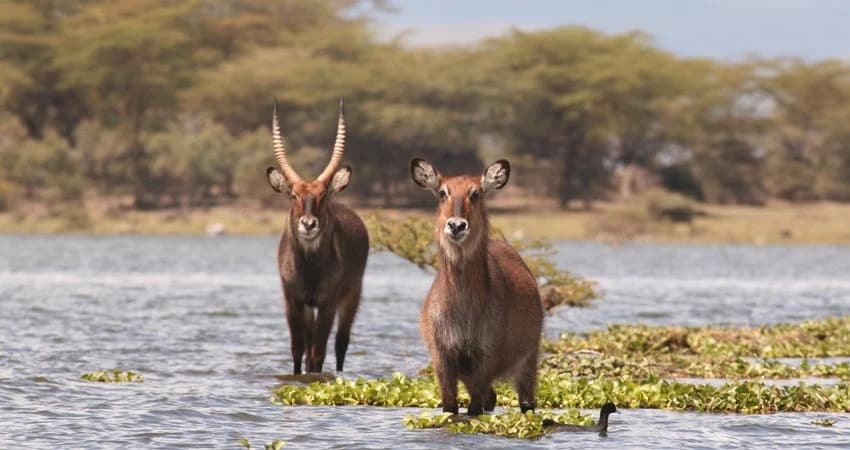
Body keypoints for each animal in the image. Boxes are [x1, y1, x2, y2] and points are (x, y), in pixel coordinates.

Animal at [266, 100, 369, 374]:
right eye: (293, 195)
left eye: (323, 195)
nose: (309, 224)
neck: (309, 266)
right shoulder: (293, 301)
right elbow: (298, 350)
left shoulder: (327, 303)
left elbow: (319, 353)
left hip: (353, 295)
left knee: (341, 342)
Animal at [409, 158, 544, 416]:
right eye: (442, 192)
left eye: (476, 193)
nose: (456, 225)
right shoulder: (443, 358)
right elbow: (450, 407)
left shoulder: (485, 357)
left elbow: (474, 409)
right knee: (491, 398)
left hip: (528, 362)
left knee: (525, 401)